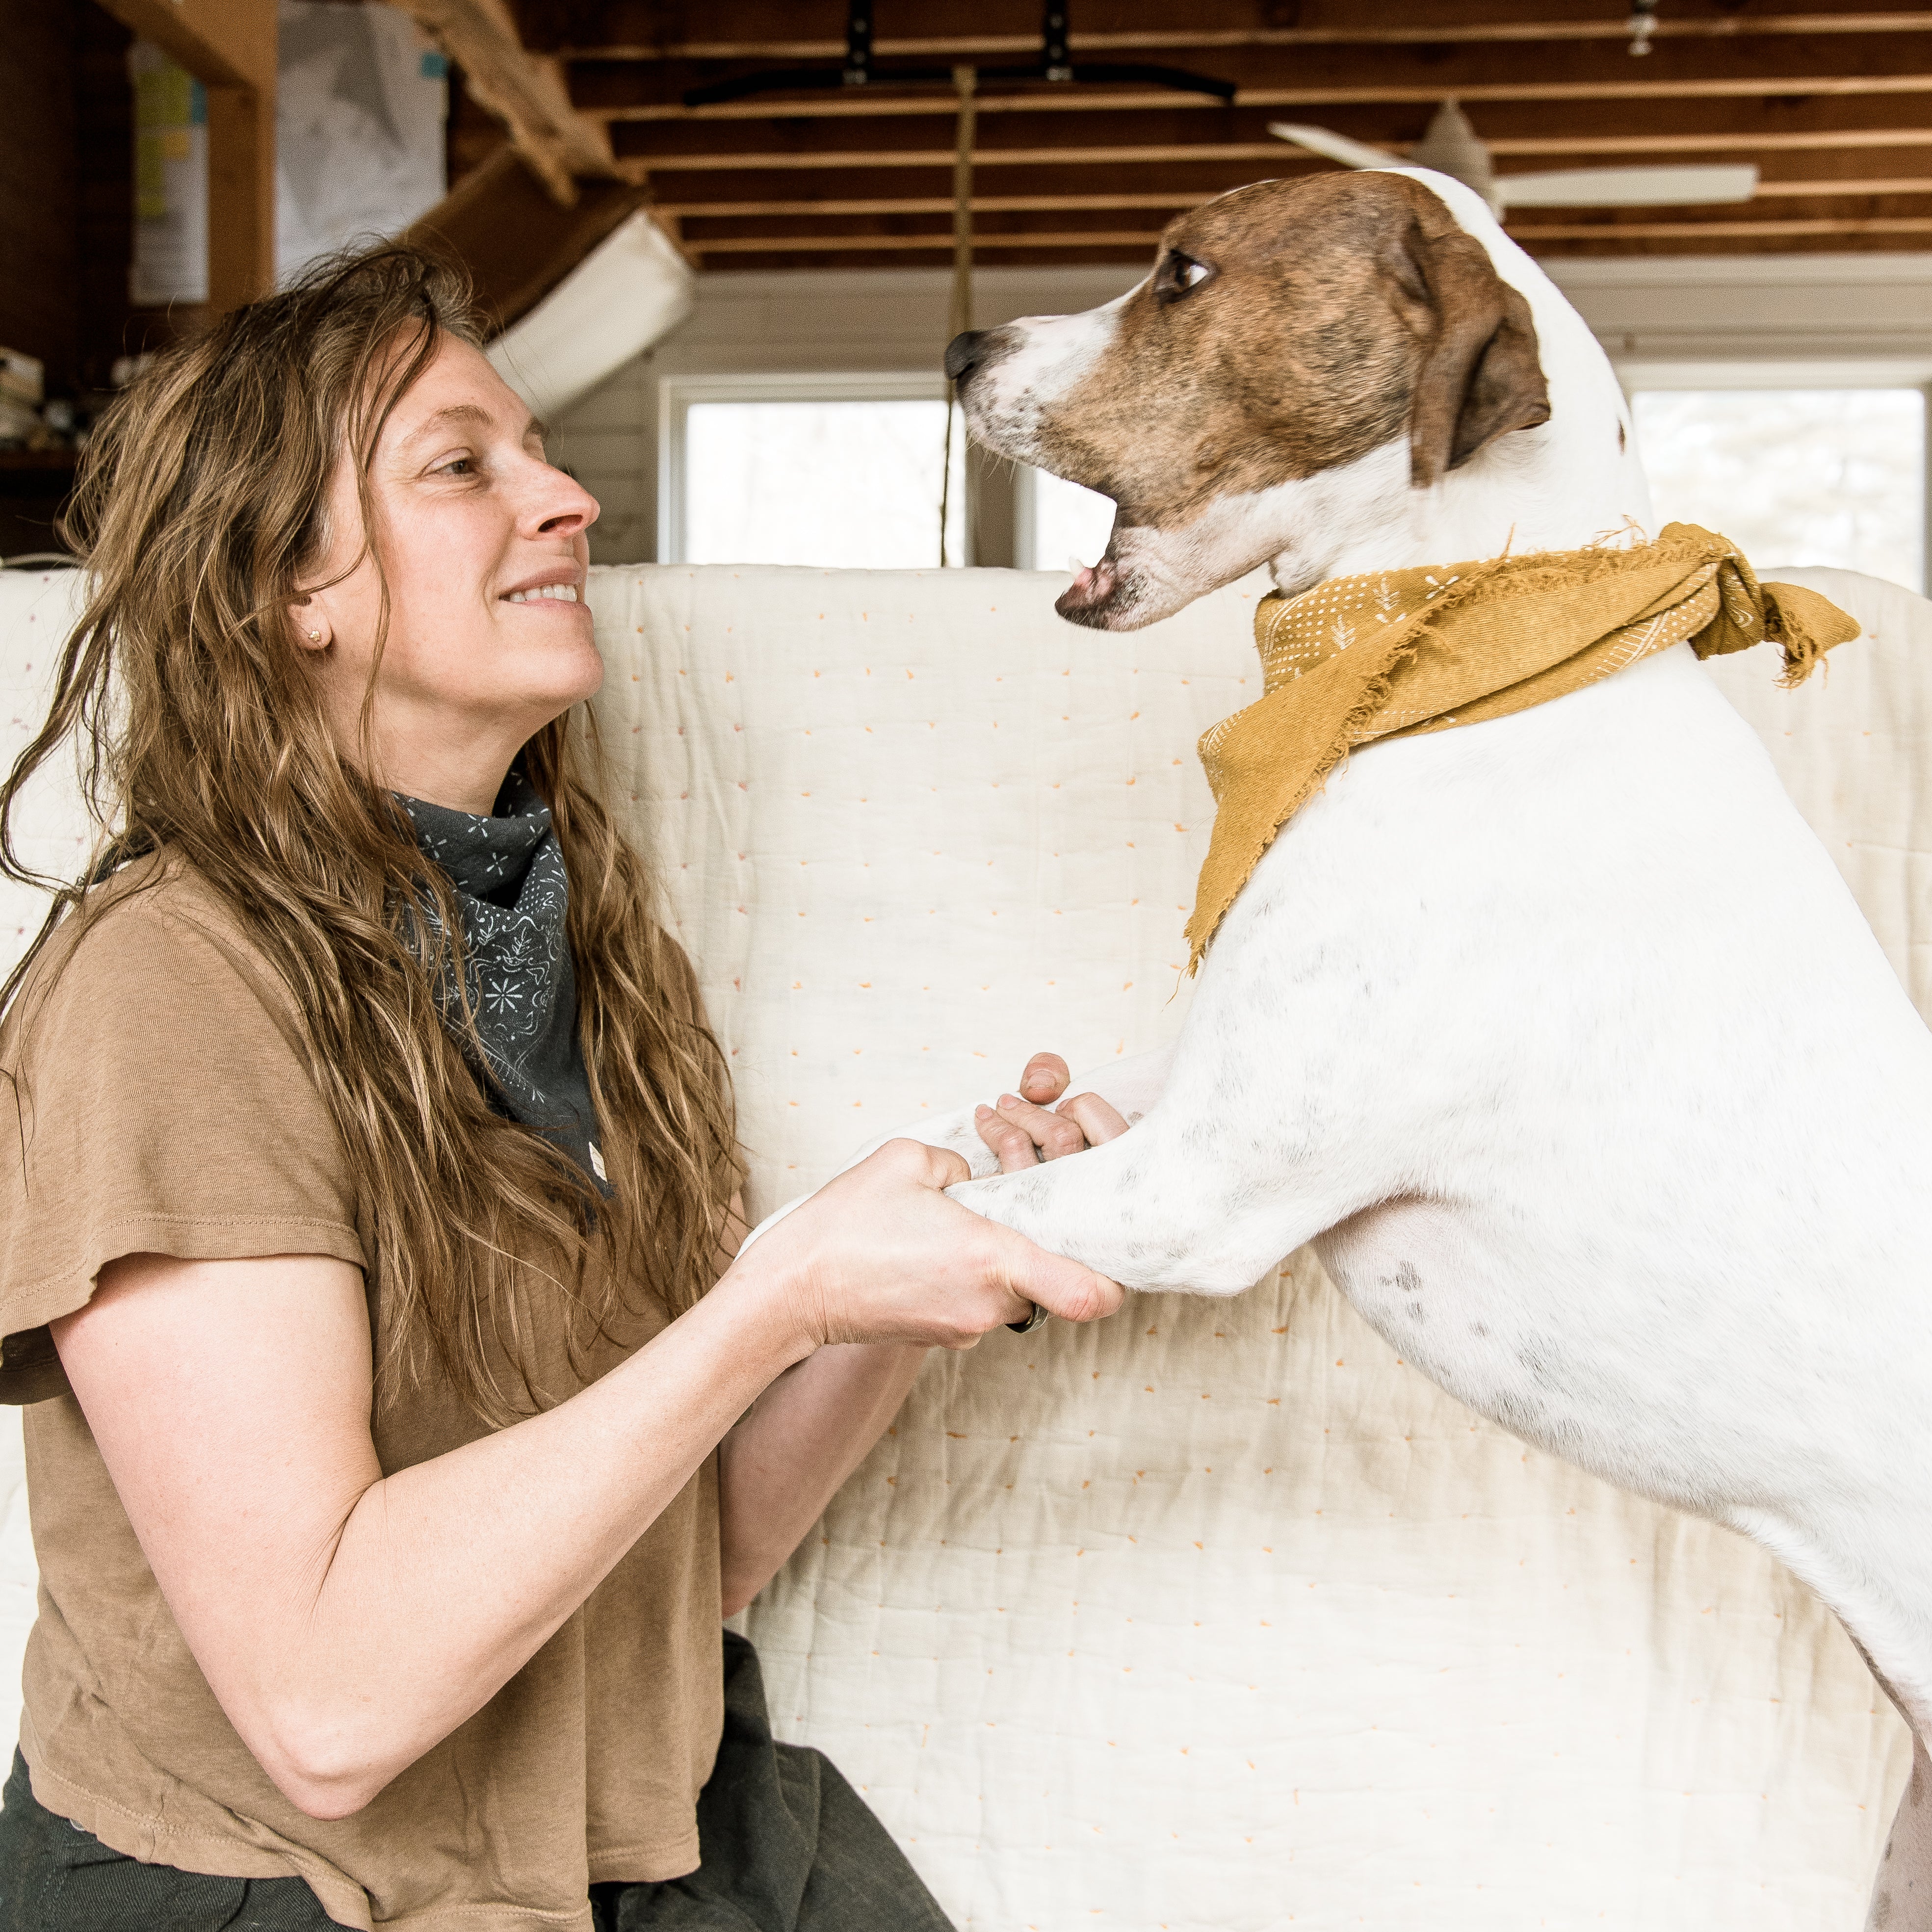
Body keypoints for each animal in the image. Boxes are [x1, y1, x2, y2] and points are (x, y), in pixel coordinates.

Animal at [749, 174, 1932, 1924]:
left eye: (1180, 272)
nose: (962, 345)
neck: (1448, 664)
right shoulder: (1181, 1114)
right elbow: (964, 1156)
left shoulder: (1203, 1187)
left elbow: (819, 1231)